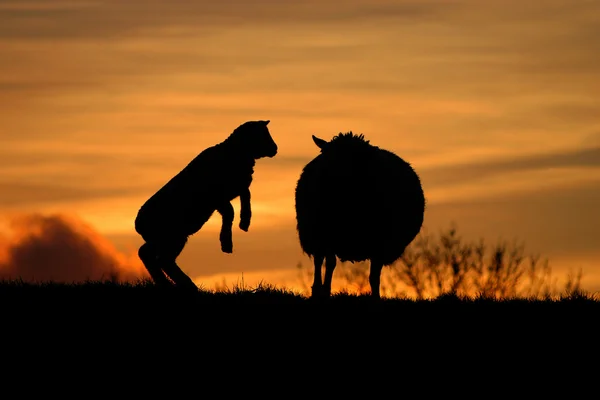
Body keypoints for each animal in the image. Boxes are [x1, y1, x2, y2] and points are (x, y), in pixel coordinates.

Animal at [135, 119, 278, 290]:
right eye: (261, 135)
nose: (275, 148)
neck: (235, 153)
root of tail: (139, 224)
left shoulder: (235, 189)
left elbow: (246, 196)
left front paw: (245, 222)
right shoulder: (218, 197)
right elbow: (230, 211)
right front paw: (226, 243)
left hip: (170, 238)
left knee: (152, 255)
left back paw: (174, 284)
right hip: (171, 236)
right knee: (158, 258)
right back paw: (182, 284)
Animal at [292, 133, 424, 298]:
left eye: (354, 159)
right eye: (328, 156)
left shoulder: (380, 245)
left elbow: (374, 277)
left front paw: (376, 297)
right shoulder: (327, 235)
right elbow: (329, 263)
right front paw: (325, 290)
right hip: (315, 234)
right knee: (320, 260)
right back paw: (317, 289)